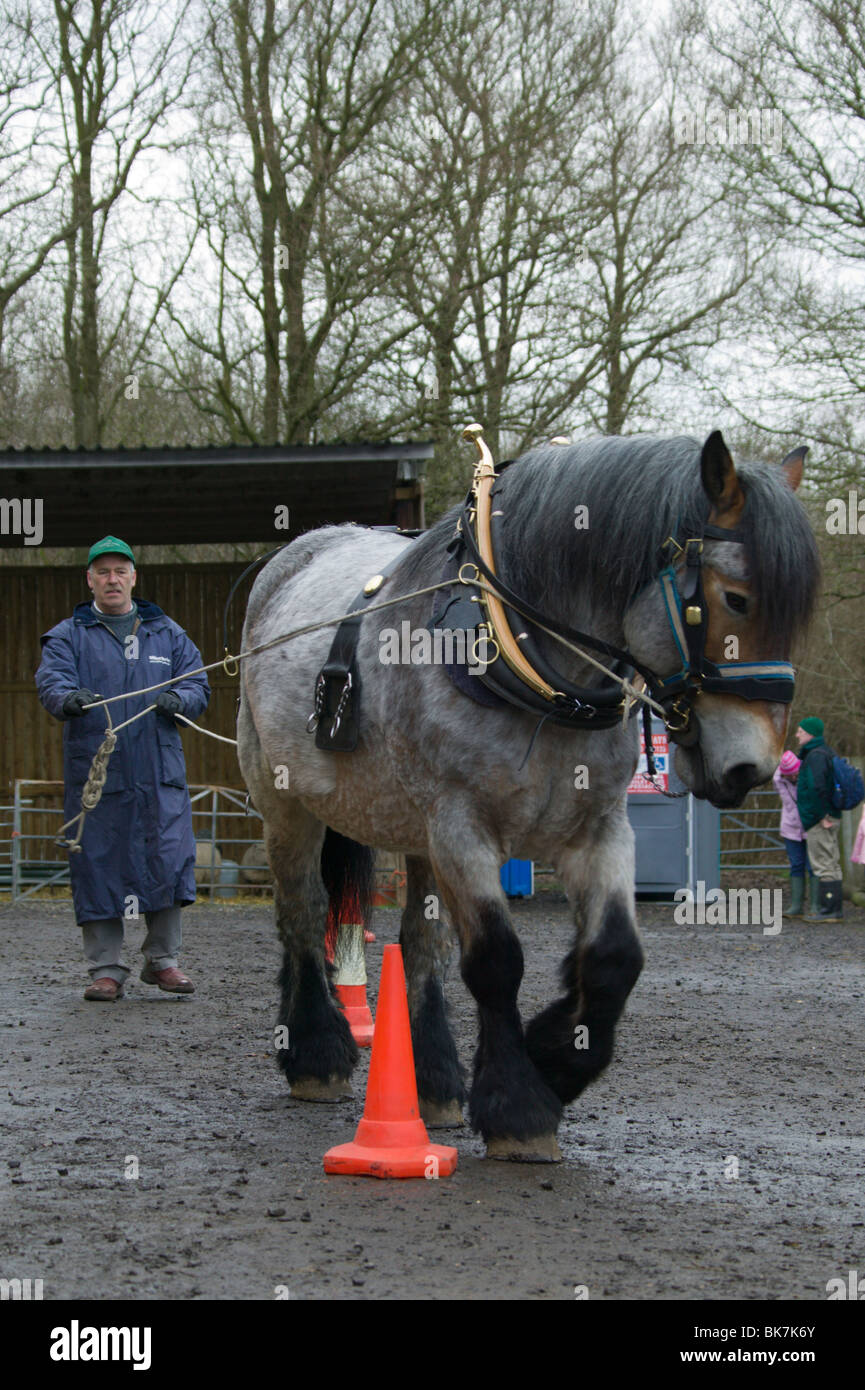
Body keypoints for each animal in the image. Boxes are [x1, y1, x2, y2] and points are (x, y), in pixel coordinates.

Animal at [235, 428, 817, 1156]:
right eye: (735, 597)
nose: (749, 769)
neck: (524, 664)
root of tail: (290, 560)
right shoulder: (462, 828)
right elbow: (496, 961)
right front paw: (518, 1106)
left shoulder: (599, 828)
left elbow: (615, 957)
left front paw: (556, 1060)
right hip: (285, 802)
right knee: (302, 913)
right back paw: (315, 1052)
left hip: (414, 832)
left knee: (420, 942)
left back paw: (434, 1081)